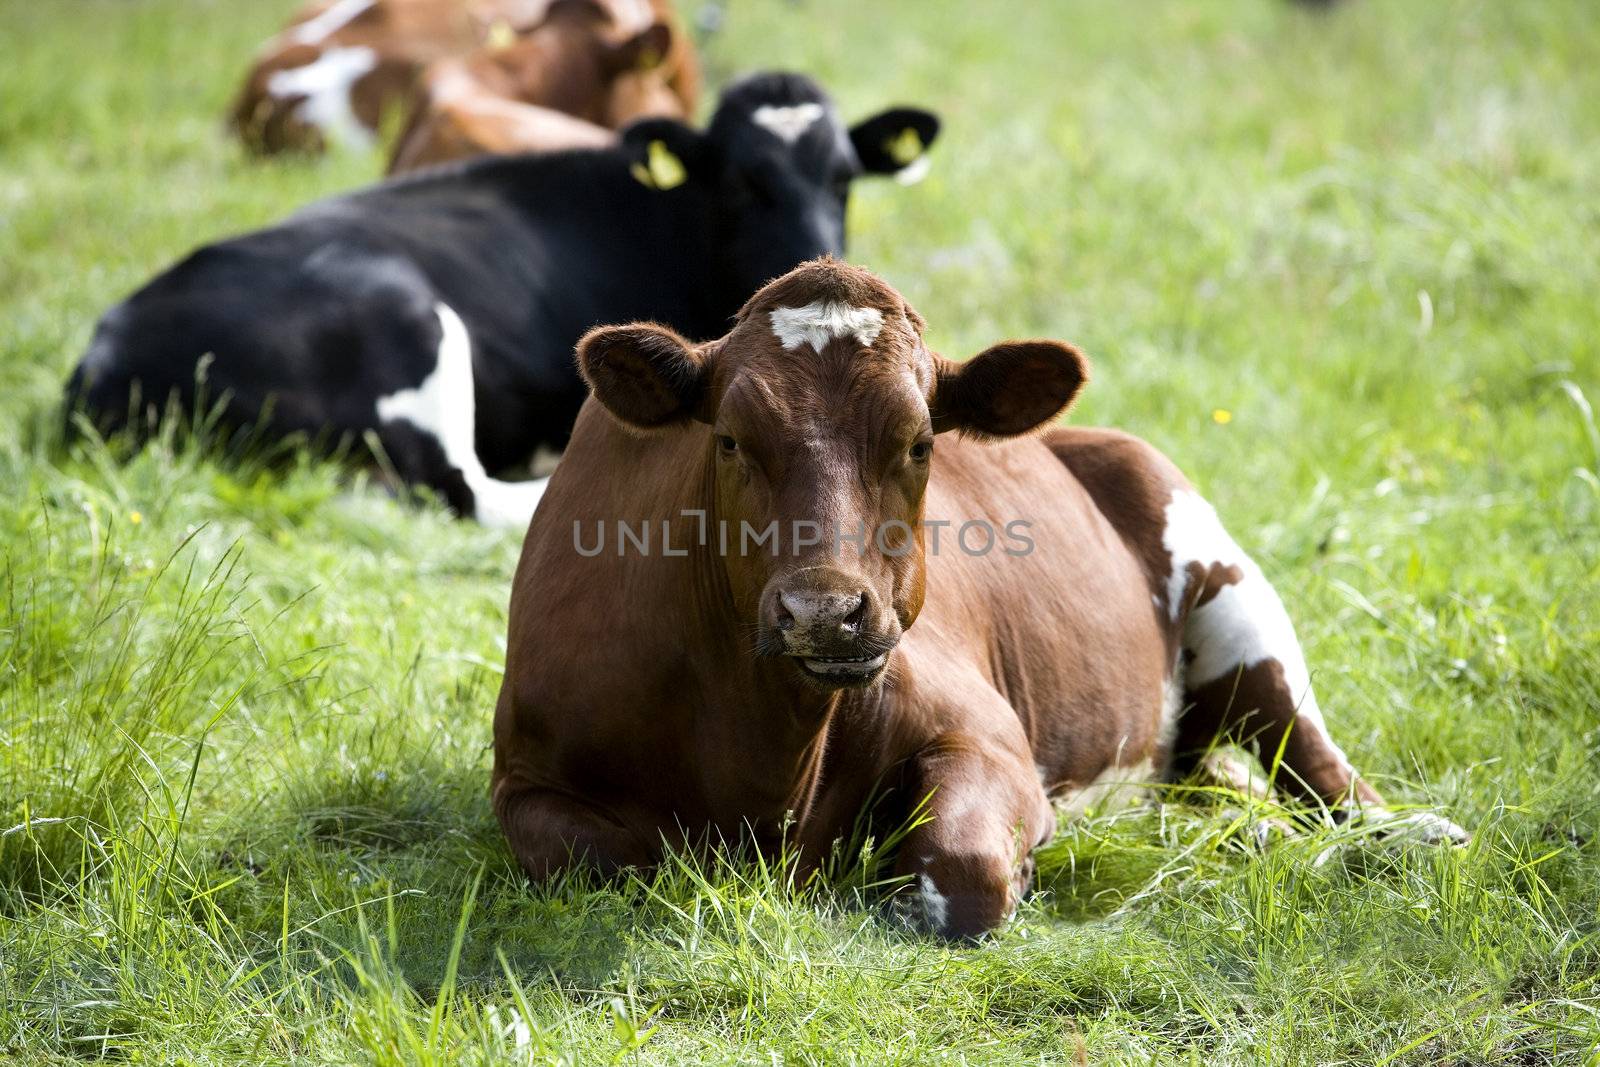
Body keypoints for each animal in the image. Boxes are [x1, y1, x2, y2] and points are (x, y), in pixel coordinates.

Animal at [68, 70, 934, 524]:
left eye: (844, 178)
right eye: (741, 181)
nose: (807, 265)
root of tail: (103, 350)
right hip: (406, 314)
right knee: (466, 489)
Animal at [492, 262, 1465, 940]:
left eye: (920, 441)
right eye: (730, 439)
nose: (824, 611)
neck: (759, 746)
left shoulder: (990, 735)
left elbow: (961, 869)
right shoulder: (525, 780)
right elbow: (606, 856)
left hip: (1236, 597)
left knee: (1323, 774)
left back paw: (1412, 834)